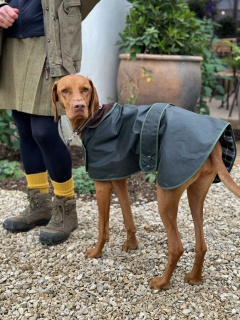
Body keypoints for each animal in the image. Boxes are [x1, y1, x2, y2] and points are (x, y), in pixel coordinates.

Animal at [51, 74, 239, 290]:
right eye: (65, 90)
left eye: (85, 89)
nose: (79, 106)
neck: (96, 120)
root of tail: (215, 145)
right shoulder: (117, 179)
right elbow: (128, 217)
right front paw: (131, 245)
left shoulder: (102, 185)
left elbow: (102, 227)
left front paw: (96, 252)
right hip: (195, 196)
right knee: (201, 245)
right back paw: (195, 278)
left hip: (165, 195)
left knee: (177, 247)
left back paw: (162, 282)